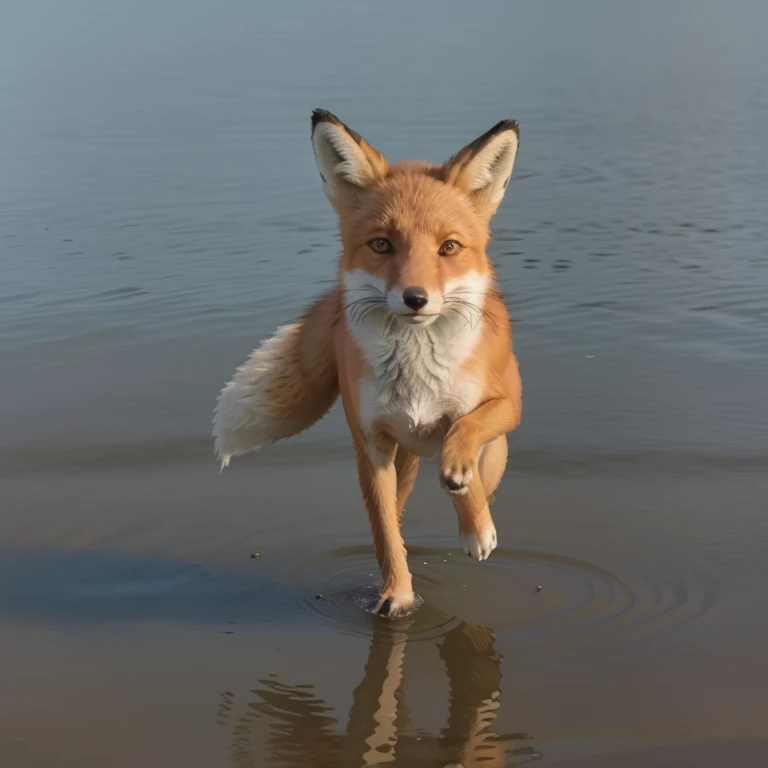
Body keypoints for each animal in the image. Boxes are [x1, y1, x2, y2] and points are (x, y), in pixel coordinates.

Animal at [213, 109, 520, 616]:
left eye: (449, 248)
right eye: (381, 245)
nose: (416, 299)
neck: (417, 374)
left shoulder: (509, 405)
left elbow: (465, 432)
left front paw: (474, 521)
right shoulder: (370, 446)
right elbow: (386, 533)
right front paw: (397, 595)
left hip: (490, 450)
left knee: (475, 466)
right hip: (402, 457)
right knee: (398, 510)